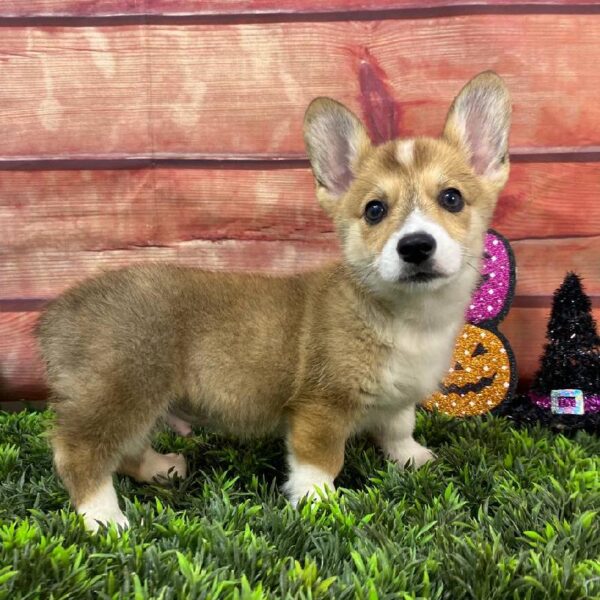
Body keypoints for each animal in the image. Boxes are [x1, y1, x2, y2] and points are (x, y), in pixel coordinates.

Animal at [36, 70, 510, 528]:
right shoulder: (320, 407)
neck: (406, 314)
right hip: (123, 392)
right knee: (78, 452)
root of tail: (58, 313)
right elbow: (320, 463)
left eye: (452, 198)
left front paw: (414, 458)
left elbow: (399, 427)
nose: (415, 246)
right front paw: (320, 505)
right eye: (375, 210)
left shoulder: (398, 396)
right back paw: (104, 517)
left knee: (127, 450)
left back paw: (160, 468)